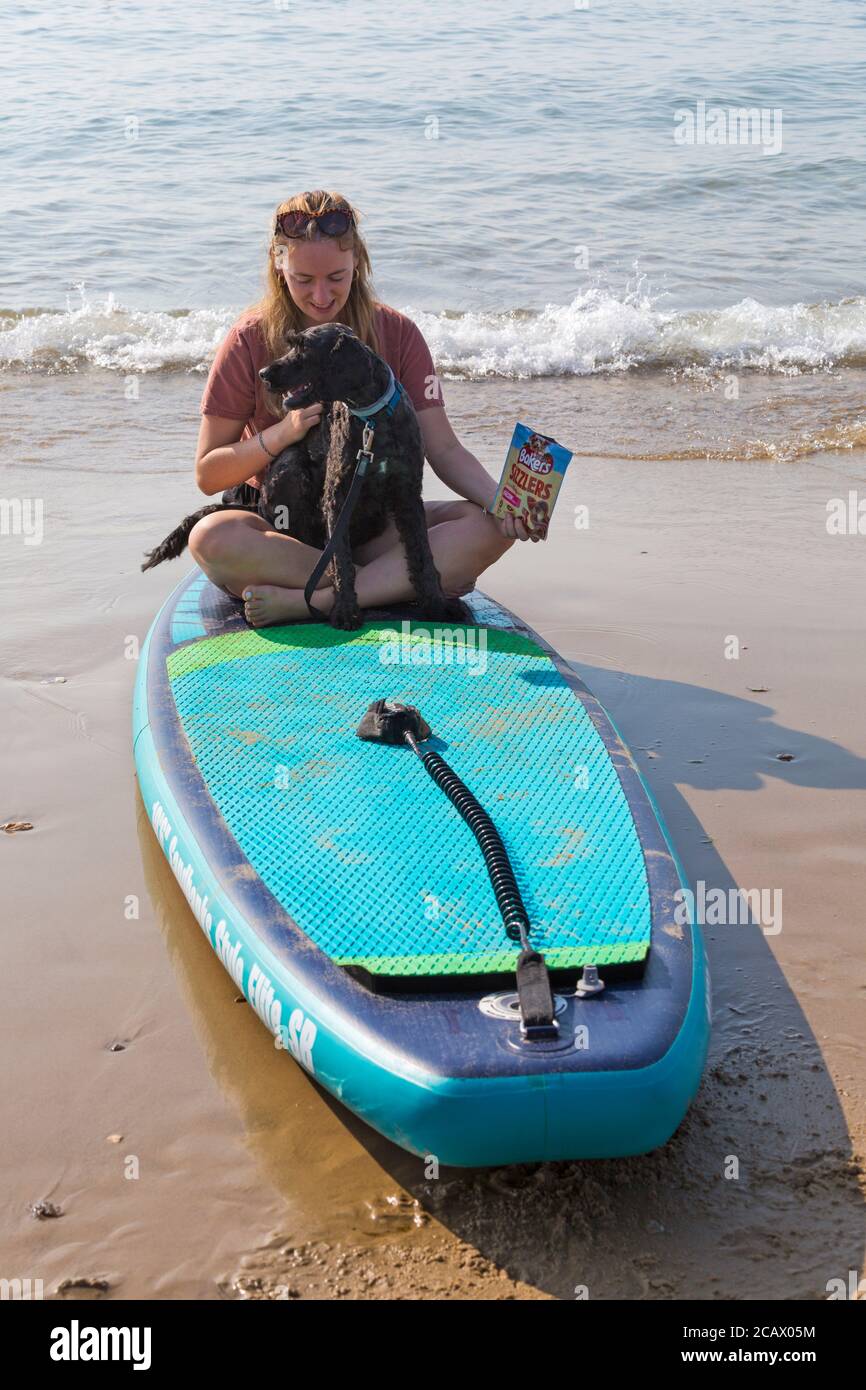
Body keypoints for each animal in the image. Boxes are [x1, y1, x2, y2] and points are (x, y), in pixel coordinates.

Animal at [142, 319, 469, 631]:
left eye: (304, 348)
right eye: (291, 343)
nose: (263, 373)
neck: (372, 421)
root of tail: (257, 507)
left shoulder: (408, 494)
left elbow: (422, 553)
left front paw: (437, 605)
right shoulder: (337, 497)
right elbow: (340, 558)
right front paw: (345, 610)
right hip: (290, 467)